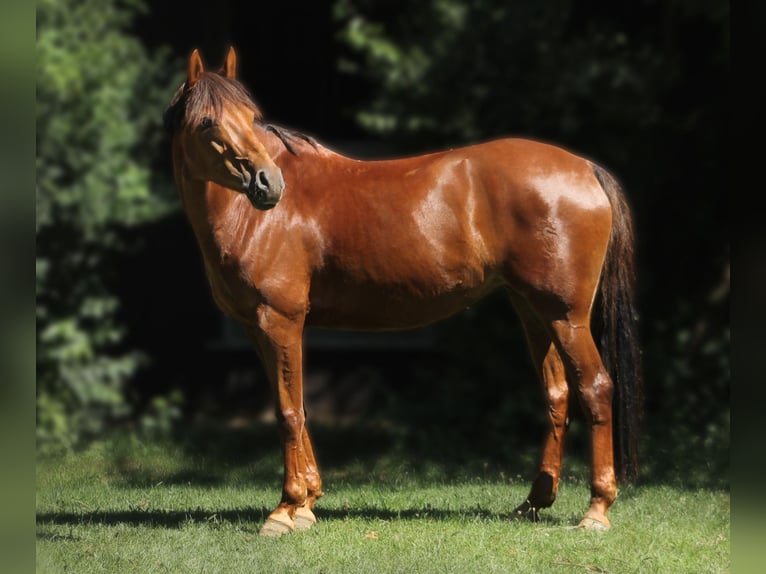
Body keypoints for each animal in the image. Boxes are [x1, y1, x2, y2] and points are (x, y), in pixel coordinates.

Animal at [163, 47, 642, 536]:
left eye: (252, 117)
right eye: (207, 123)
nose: (268, 183)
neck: (256, 217)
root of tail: (586, 169)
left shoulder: (279, 321)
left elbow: (288, 411)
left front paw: (285, 509)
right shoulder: (258, 329)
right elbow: (296, 406)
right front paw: (309, 503)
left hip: (567, 316)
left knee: (595, 387)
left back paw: (596, 510)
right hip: (534, 311)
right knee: (558, 393)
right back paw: (534, 502)